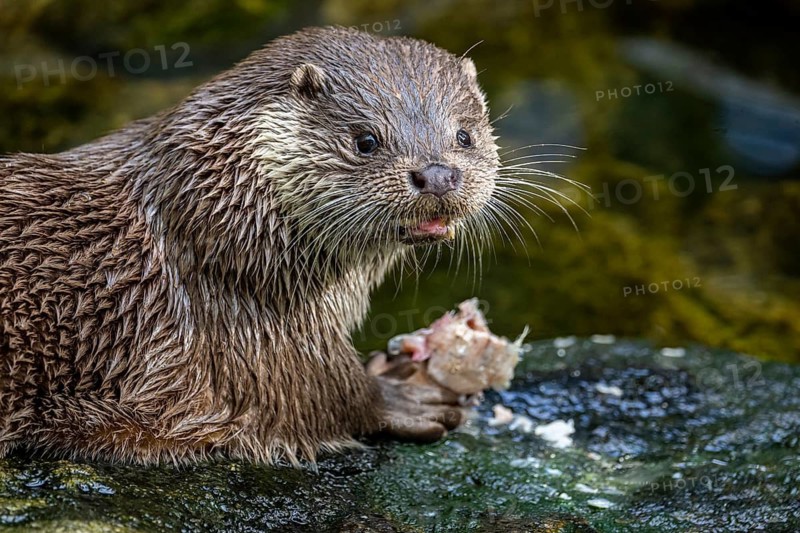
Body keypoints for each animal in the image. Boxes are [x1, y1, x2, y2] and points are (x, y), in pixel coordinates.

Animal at [0, 27, 499, 464]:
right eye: (366, 141)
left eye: (464, 135)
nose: (437, 174)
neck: (219, 209)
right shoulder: (237, 318)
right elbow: (314, 395)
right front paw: (403, 396)